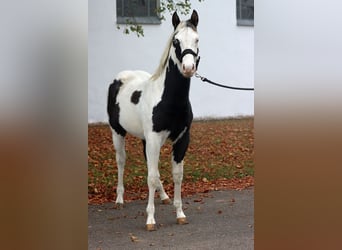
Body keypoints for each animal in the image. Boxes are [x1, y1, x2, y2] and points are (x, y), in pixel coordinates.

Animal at [105, 11, 199, 230]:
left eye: (197, 39)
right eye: (175, 41)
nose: (188, 67)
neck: (168, 99)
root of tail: (119, 78)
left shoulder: (182, 139)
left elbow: (176, 175)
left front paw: (180, 213)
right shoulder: (154, 139)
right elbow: (151, 176)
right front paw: (150, 219)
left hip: (144, 139)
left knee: (149, 165)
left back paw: (163, 196)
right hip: (117, 132)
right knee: (121, 161)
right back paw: (119, 199)